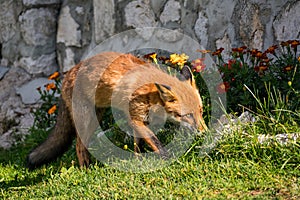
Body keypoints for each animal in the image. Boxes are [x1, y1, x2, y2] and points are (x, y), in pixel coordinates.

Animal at [26, 51, 206, 169]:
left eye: (201, 111)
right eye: (187, 115)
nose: (205, 132)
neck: (150, 93)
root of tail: (68, 74)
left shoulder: (140, 119)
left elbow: (138, 144)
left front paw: (139, 160)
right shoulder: (136, 118)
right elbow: (156, 142)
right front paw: (169, 159)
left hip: (96, 117)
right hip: (86, 120)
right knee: (78, 145)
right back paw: (86, 169)